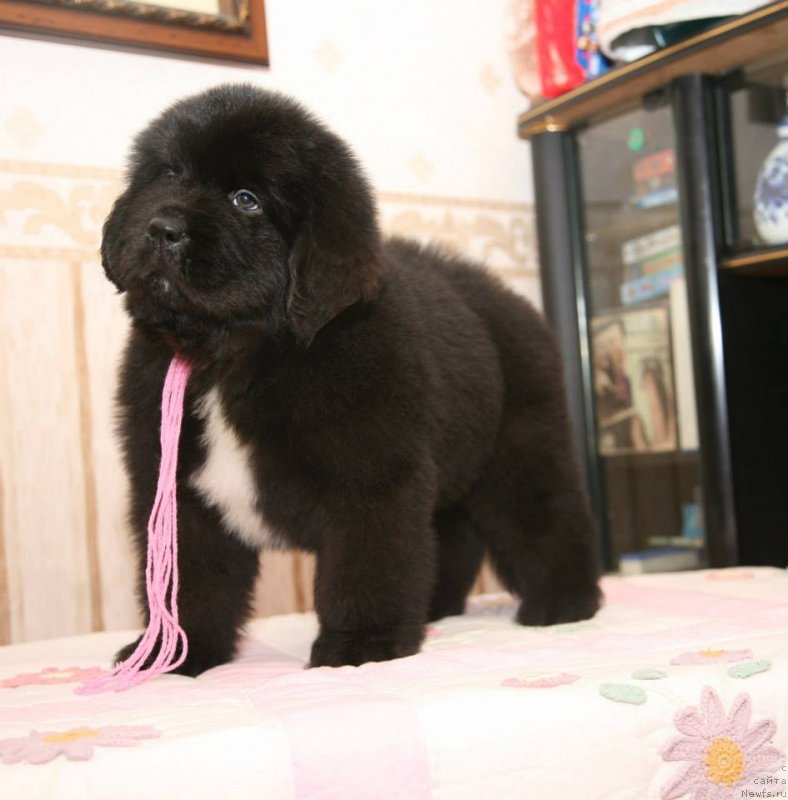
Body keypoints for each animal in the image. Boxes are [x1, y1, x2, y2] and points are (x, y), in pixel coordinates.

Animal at [101, 84, 600, 672]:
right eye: (170, 174)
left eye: (246, 200)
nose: (163, 228)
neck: (237, 356)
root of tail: (515, 302)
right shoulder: (177, 494)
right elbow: (193, 582)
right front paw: (179, 654)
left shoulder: (370, 477)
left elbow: (365, 567)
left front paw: (362, 645)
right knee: (448, 539)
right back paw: (435, 609)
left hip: (521, 449)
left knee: (546, 519)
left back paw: (565, 602)